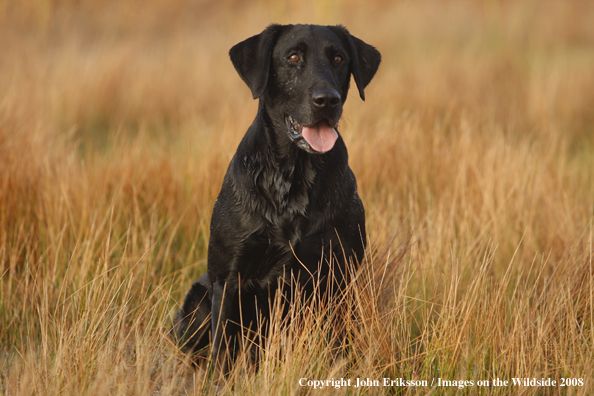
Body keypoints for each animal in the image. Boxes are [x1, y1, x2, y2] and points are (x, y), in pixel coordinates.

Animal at [173, 23, 382, 376]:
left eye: (338, 58)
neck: (294, 178)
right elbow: (221, 348)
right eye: (293, 57)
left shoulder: (339, 276)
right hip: (197, 302)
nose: (327, 100)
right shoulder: (228, 279)